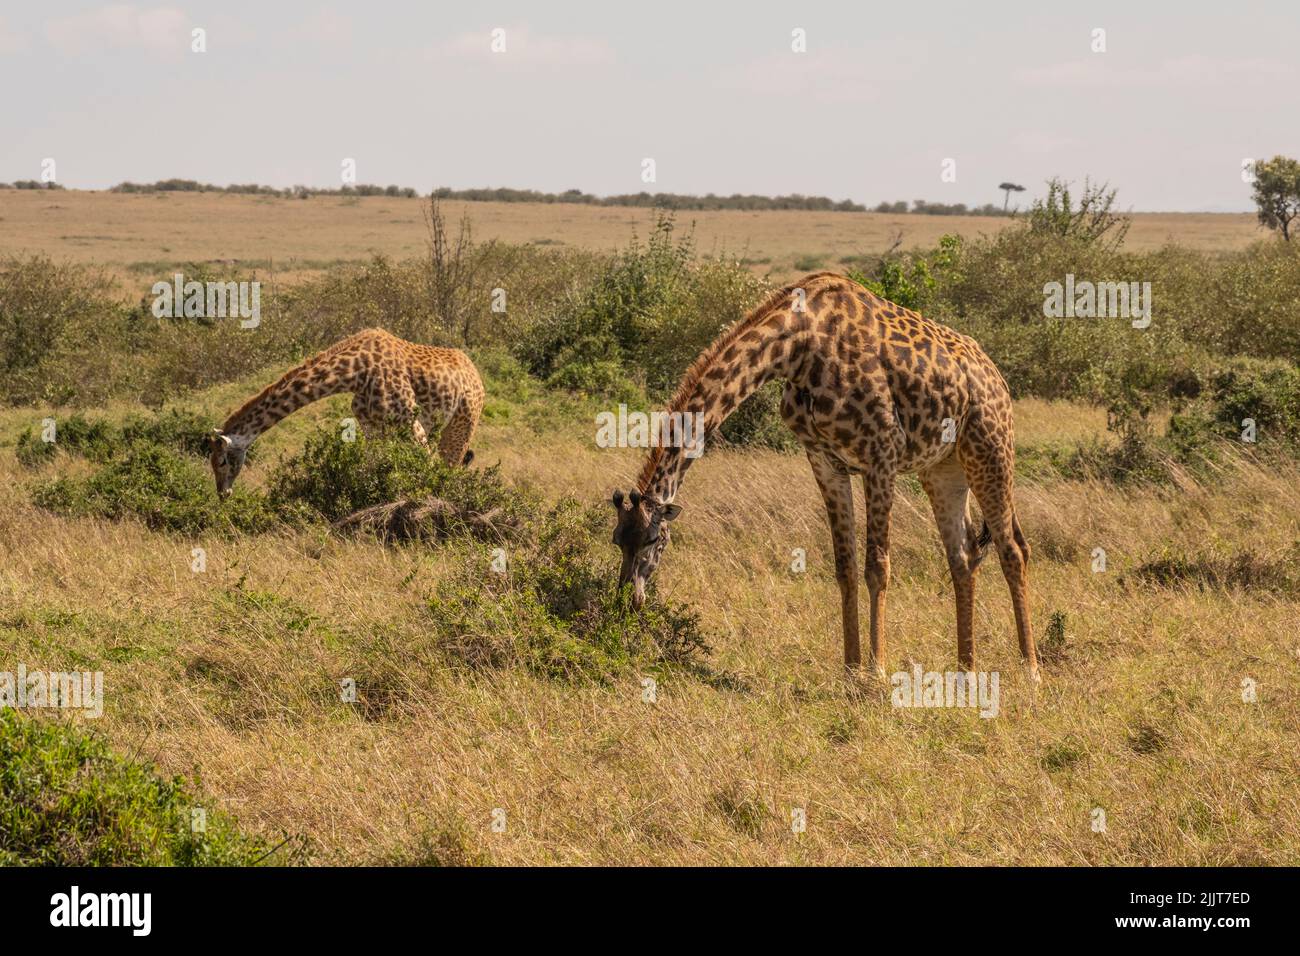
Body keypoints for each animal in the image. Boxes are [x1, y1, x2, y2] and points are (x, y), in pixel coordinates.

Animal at [207, 328, 484, 498]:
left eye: (222, 461)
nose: (223, 493)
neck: (355, 374)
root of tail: (476, 375)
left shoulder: (410, 423)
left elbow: (424, 467)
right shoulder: (373, 428)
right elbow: (377, 468)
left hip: (462, 423)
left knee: (451, 466)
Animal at [610, 272, 1039, 682]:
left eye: (653, 539)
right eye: (617, 540)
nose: (628, 600)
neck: (798, 347)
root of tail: (996, 375)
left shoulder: (881, 454)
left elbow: (877, 567)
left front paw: (877, 673)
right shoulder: (824, 459)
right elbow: (845, 567)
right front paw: (850, 672)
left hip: (991, 449)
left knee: (1013, 549)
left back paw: (1030, 670)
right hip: (943, 468)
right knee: (963, 554)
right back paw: (966, 671)